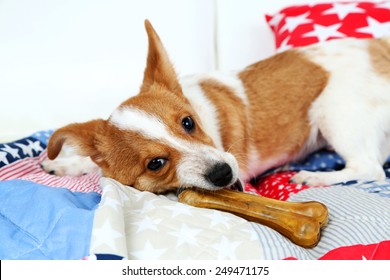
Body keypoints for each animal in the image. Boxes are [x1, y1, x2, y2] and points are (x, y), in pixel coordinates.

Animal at [42, 19, 390, 194]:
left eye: (188, 123)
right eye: (155, 163)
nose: (224, 173)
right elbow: (92, 162)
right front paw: (66, 164)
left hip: (333, 112)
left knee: (369, 167)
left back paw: (315, 177)